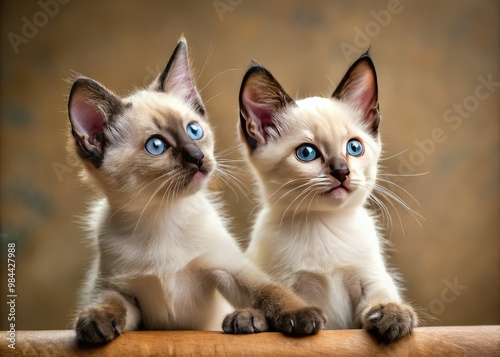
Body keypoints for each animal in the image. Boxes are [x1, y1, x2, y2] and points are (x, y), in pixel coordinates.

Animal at [66, 38, 324, 342]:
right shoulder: (122, 291)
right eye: (156, 146)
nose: (198, 157)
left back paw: (246, 319)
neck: (162, 214)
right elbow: (108, 301)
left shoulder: (229, 269)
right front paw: (95, 322)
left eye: (194, 131)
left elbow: (270, 291)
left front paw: (302, 315)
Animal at [236, 52, 416, 342]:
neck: (323, 223)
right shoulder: (277, 279)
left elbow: (381, 298)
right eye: (306, 153)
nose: (342, 171)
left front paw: (392, 315)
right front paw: (258, 317)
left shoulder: (370, 279)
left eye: (354, 148)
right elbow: (275, 297)